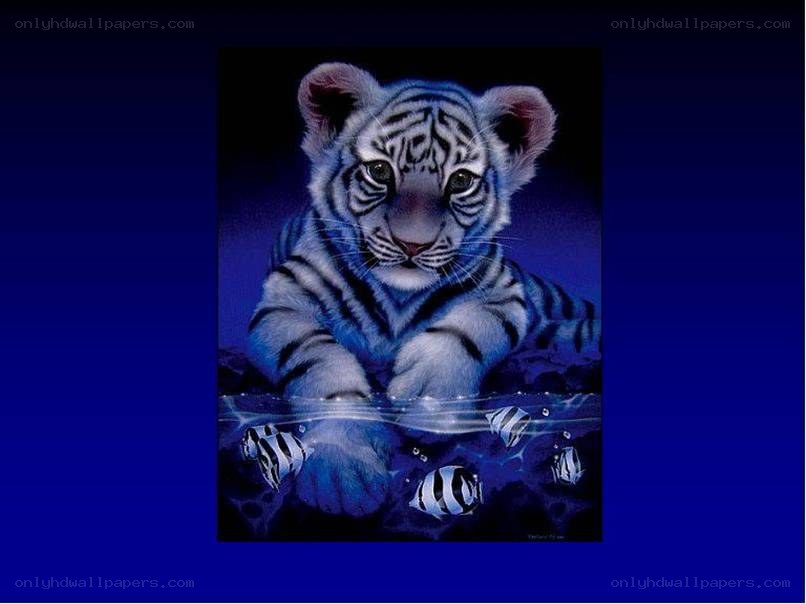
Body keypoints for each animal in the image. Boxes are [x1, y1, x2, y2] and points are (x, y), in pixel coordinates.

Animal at [247, 63, 600, 516]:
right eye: (380, 171)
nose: (412, 244)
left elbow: (471, 328)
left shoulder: (504, 293)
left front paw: (430, 400)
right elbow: (320, 364)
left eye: (461, 180)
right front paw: (341, 468)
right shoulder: (282, 301)